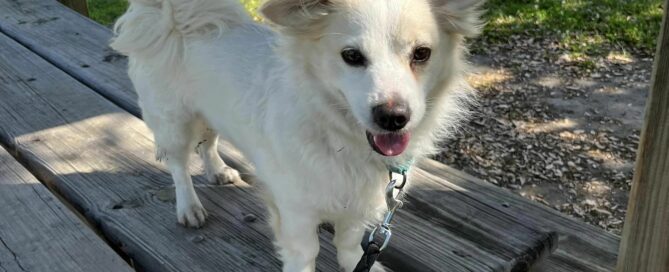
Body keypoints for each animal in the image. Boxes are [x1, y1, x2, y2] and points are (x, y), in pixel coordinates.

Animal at [113, 0, 480, 270]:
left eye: (422, 53)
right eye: (351, 56)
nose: (393, 118)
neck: (341, 137)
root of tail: (172, 17)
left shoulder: (357, 203)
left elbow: (349, 246)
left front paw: (356, 263)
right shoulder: (296, 210)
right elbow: (306, 254)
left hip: (212, 111)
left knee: (208, 142)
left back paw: (217, 170)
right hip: (174, 121)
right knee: (178, 166)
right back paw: (189, 206)